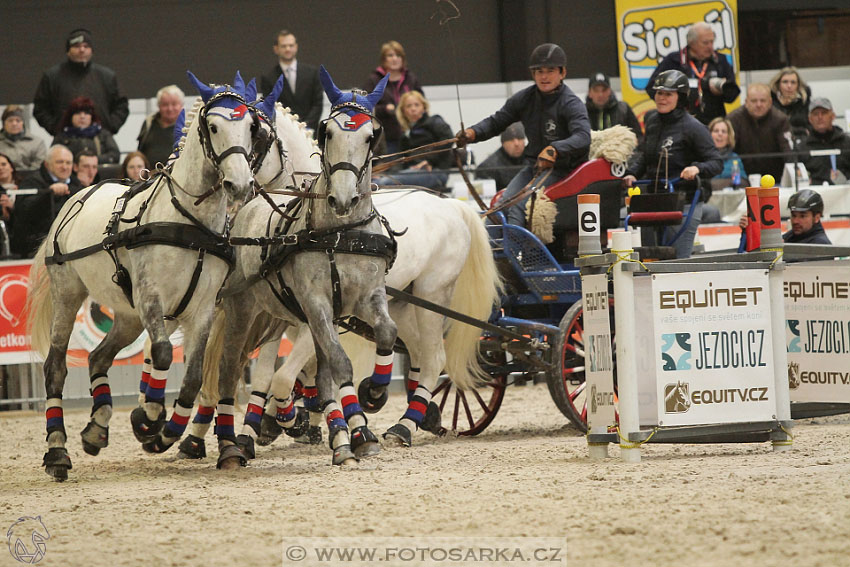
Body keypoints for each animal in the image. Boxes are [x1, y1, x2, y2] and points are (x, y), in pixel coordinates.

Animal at [26, 70, 282, 480]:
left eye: (251, 128)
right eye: (213, 126)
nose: (239, 184)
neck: (189, 223)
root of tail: (76, 197)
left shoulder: (202, 310)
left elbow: (193, 377)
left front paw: (165, 433)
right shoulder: (151, 299)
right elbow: (161, 354)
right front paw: (148, 419)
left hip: (126, 315)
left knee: (98, 358)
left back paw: (97, 429)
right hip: (68, 295)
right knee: (56, 368)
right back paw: (57, 453)